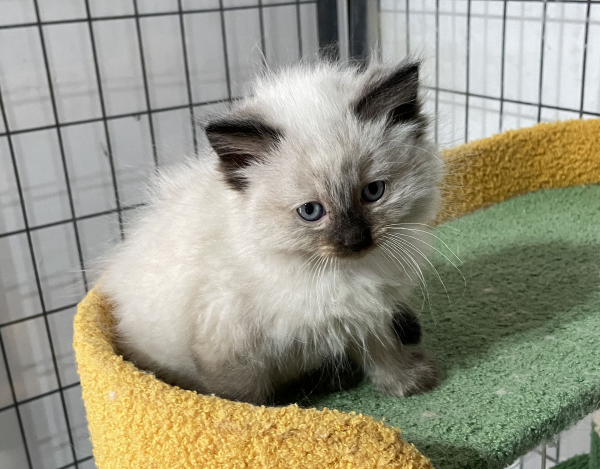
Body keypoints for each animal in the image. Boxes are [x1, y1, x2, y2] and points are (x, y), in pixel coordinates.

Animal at [99, 57, 446, 402]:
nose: (355, 240)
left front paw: (407, 381)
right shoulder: (229, 351)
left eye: (373, 192)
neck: (339, 274)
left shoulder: (366, 313)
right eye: (311, 212)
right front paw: (265, 417)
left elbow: (382, 350)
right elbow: (245, 402)